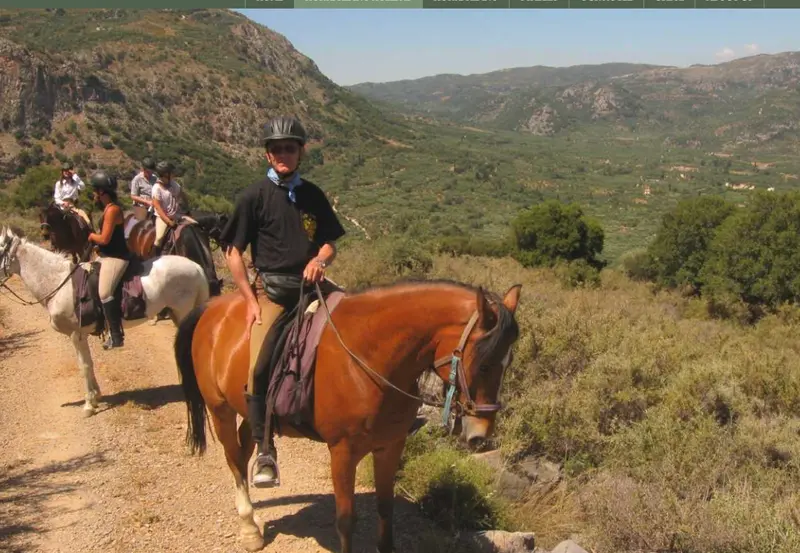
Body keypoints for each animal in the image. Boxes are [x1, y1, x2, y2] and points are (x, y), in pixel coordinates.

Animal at [0, 225, 211, 417]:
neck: (60, 282)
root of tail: (196, 267)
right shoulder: (81, 336)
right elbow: (89, 364)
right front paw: (96, 397)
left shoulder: (76, 335)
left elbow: (84, 366)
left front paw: (88, 405)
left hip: (183, 313)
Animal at [173, 279, 522, 552]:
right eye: (484, 364)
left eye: (508, 363)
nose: (481, 434)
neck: (369, 359)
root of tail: (212, 307)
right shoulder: (342, 452)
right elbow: (344, 520)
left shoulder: (390, 446)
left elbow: (385, 508)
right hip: (219, 408)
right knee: (233, 457)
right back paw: (249, 529)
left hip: (248, 408)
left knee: (248, 445)